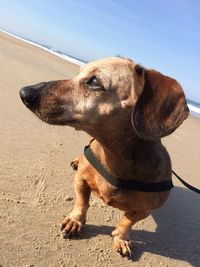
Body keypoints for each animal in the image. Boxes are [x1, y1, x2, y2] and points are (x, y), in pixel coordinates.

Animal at [19, 58, 189, 258]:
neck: (115, 159)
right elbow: (82, 203)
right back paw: (77, 160)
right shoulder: (80, 180)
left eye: (94, 81)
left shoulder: (145, 210)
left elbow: (127, 221)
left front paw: (121, 238)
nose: (24, 92)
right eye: (79, 73)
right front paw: (75, 221)